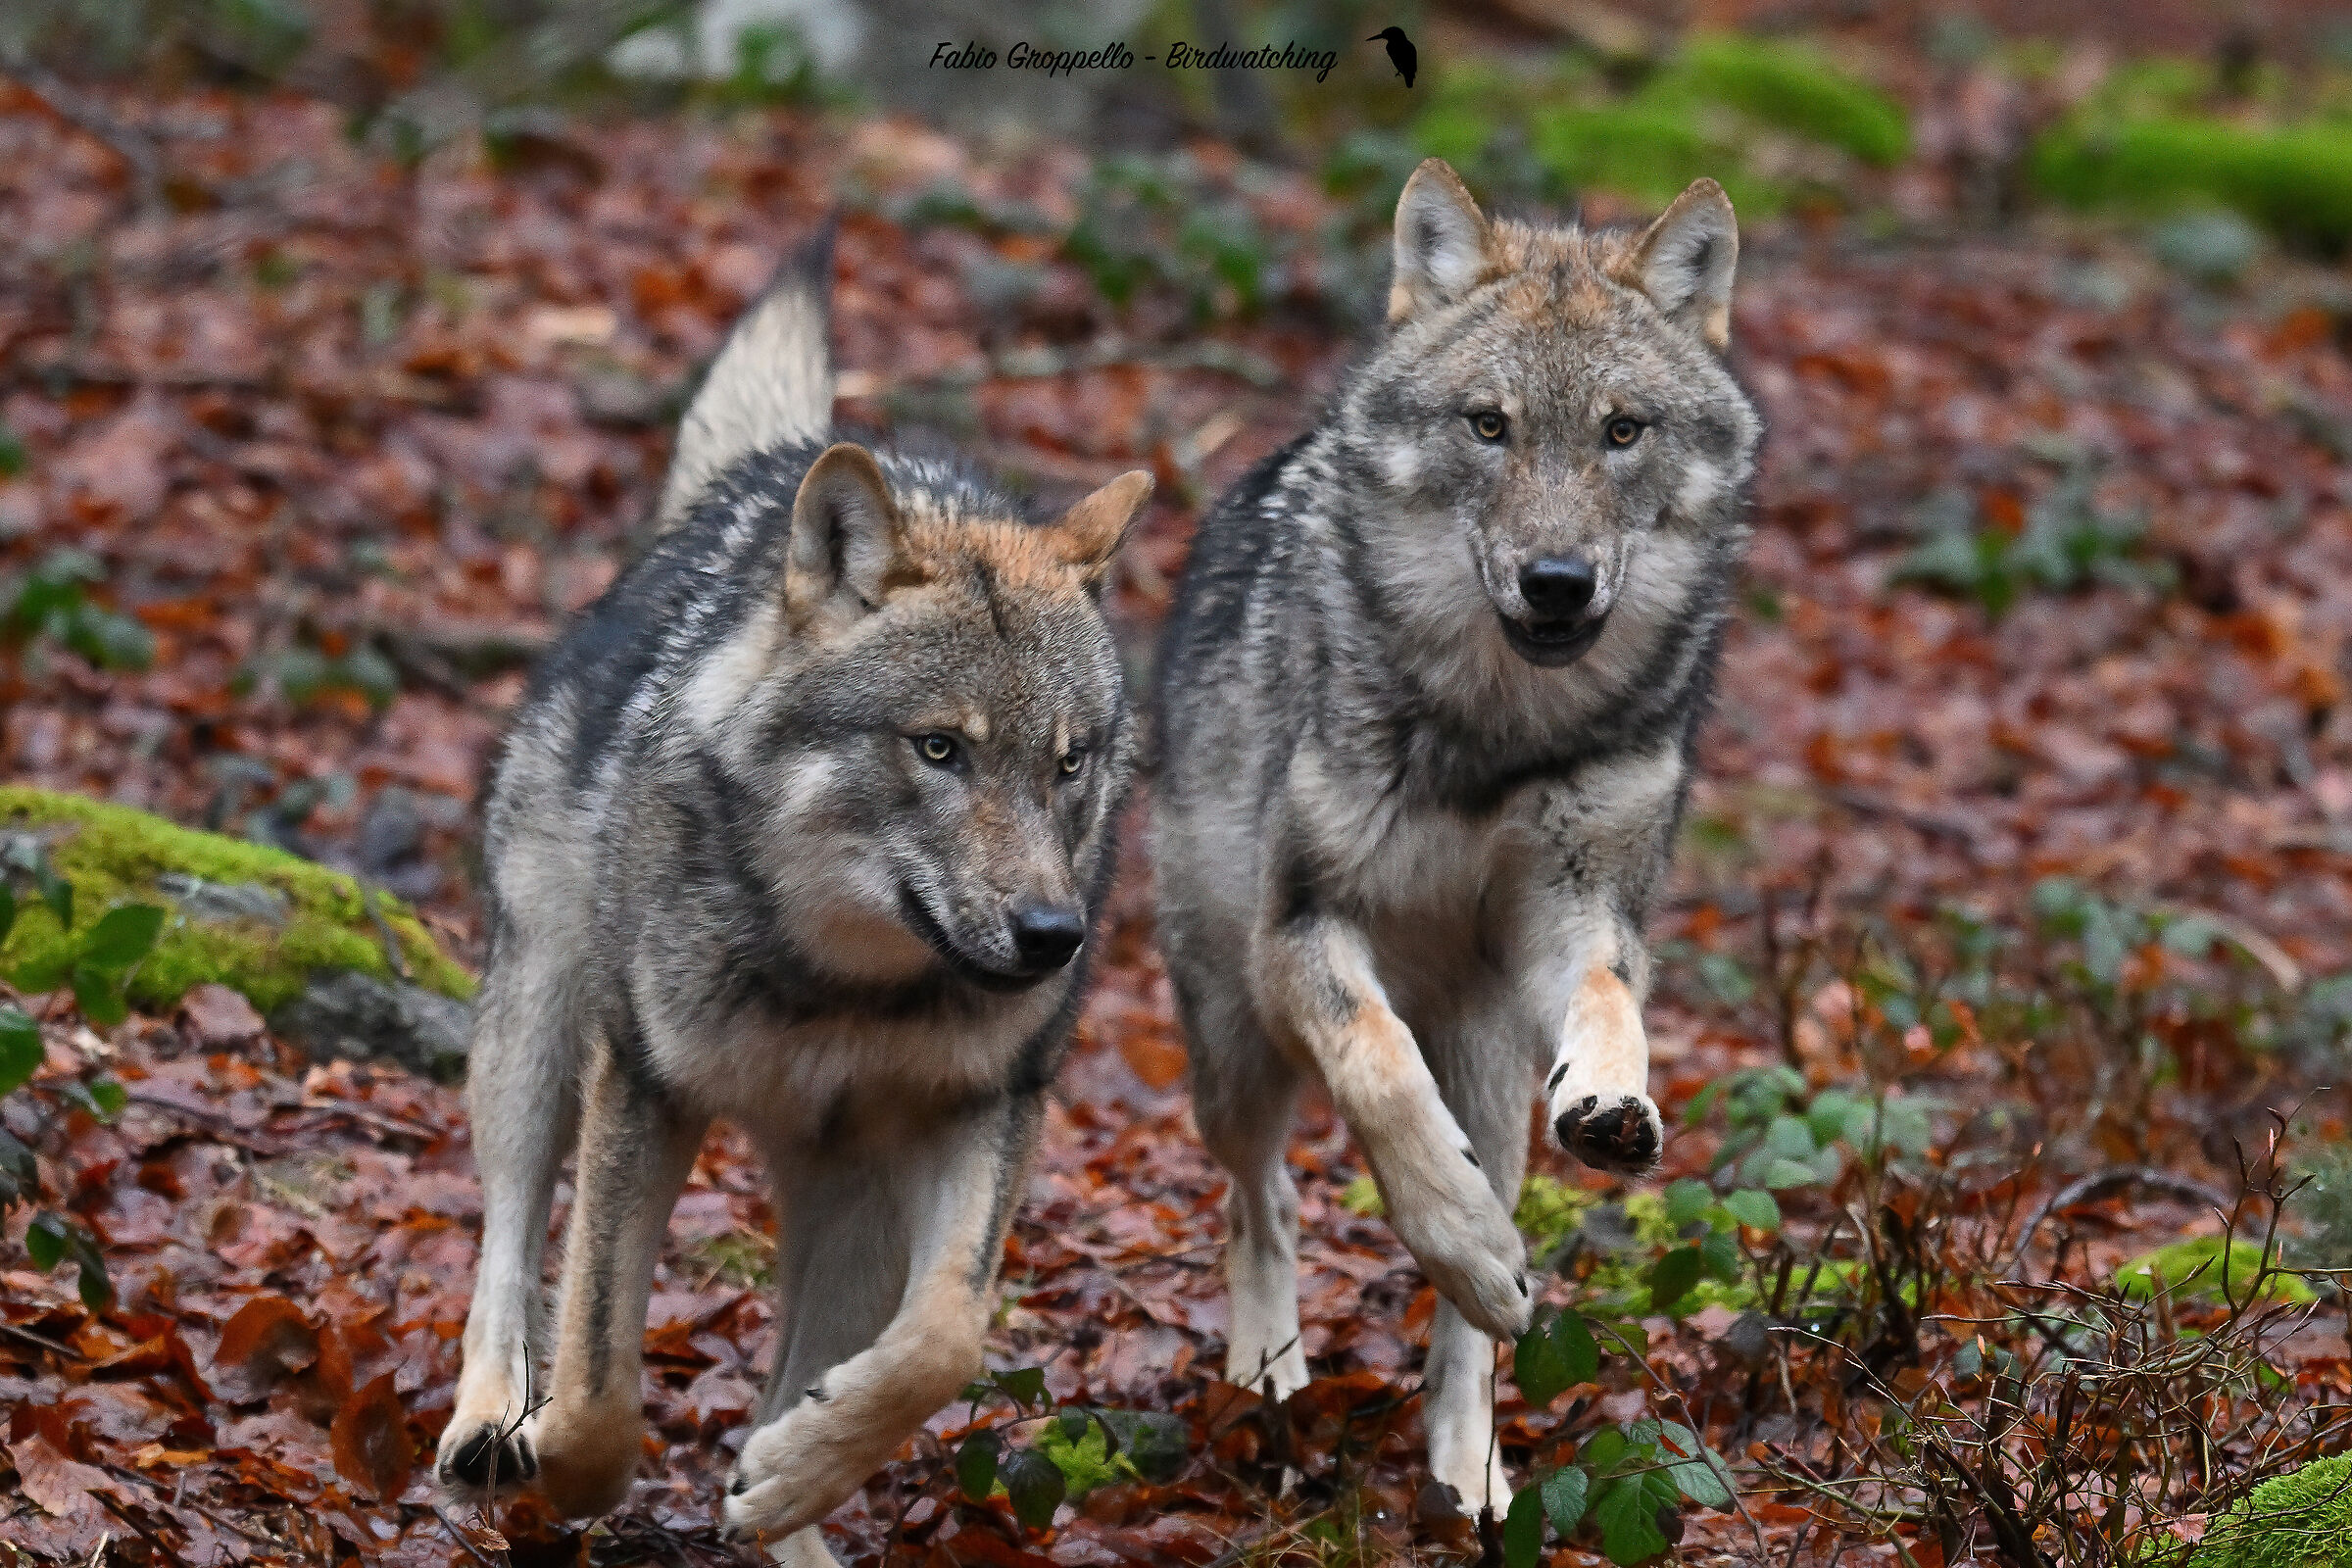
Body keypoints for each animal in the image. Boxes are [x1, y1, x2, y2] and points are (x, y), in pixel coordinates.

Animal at [433, 229, 1154, 1565]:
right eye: (939, 749)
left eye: (1071, 762)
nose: (1052, 938)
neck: (842, 982)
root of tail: (755, 476)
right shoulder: (643, 1087)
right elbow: (598, 1372)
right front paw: (570, 1471)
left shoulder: (983, 1108)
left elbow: (945, 1340)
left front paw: (787, 1476)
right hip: (537, 1031)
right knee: (507, 1238)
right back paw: (490, 1424)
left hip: (853, 1202)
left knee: (799, 1375)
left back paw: (785, 1503)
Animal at [1152, 160, 1759, 1515]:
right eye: (1490, 426)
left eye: (1622, 431)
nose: (1557, 581)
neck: (1495, 734)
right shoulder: (1302, 928)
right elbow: (1380, 1073)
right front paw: (1467, 1240)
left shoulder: (1579, 909)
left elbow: (1609, 999)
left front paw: (1613, 1102)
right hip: (1231, 1043)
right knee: (1261, 1200)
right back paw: (1270, 1376)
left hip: (1486, 1063)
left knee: (1470, 1324)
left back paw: (1469, 1470)